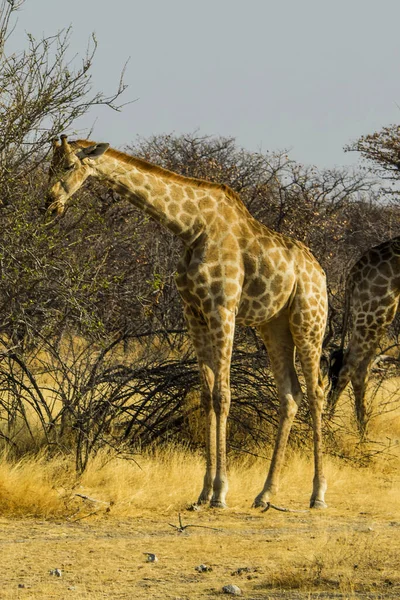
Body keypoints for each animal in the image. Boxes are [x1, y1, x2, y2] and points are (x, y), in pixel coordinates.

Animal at [47, 134, 328, 508]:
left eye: (68, 165)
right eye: (48, 165)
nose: (49, 205)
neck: (192, 228)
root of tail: (320, 272)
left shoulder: (222, 308)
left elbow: (223, 395)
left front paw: (221, 492)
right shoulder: (193, 313)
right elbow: (206, 396)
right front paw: (204, 492)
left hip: (309, 322)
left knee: (316, 392)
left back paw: (318, 494)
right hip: (273, 326)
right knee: (290, 394)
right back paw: (264, 494)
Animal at [326, 236, 400, 436]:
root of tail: (352, 275)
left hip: (379, 314)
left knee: (361, 370)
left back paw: (362, 434)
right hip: (376, 311)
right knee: (348, 366)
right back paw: (327, 428)